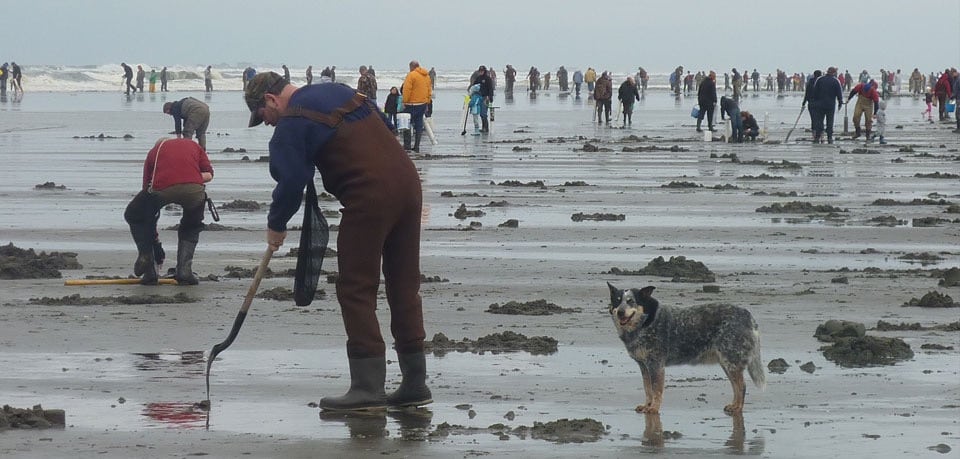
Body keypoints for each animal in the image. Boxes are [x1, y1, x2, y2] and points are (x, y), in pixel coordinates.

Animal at [608, 282, 764, 416]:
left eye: (631, 301)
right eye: (617, 301)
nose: (620, 312)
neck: (645, 322)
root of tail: (749, 316)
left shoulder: (656, 365)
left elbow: (656, 390)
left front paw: (653, 408)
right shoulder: (644, 366)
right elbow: (648, 389)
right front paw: (647, 405)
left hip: (731, 362)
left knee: (742, 386)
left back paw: (738, 408)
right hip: (727, 363)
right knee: (736, 386)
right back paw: (734, 405)